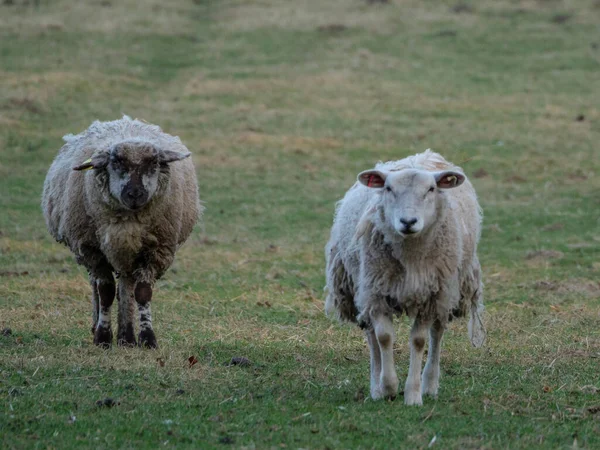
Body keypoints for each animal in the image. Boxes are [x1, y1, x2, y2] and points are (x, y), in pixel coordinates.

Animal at [42, 115, 203, 348]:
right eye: (116, 162)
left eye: (154, 163)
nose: (135, 194)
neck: (128, 221)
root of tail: (125, 121)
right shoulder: (92, 250)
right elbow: (106, 292)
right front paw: (102, 337)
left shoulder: (155, 250)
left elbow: (142, 292)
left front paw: (147, 338)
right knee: (96, 287)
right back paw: (100, 327)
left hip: (128, 254)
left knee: (126, 286)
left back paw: (126, 337)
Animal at [326, 149, 486, 406]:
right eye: (388, 188)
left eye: (431, 189)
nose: (408, 222)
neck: (410, 256)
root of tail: (425, 155)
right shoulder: (376, 292)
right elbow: (383, 337)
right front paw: (388, 387)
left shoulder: (430, 297)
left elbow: (419, 341)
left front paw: (413, 394)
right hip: (362, 287)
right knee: (371, 334)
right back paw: (376, 386)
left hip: (446, 291)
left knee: (437, 333)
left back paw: (429, 384)